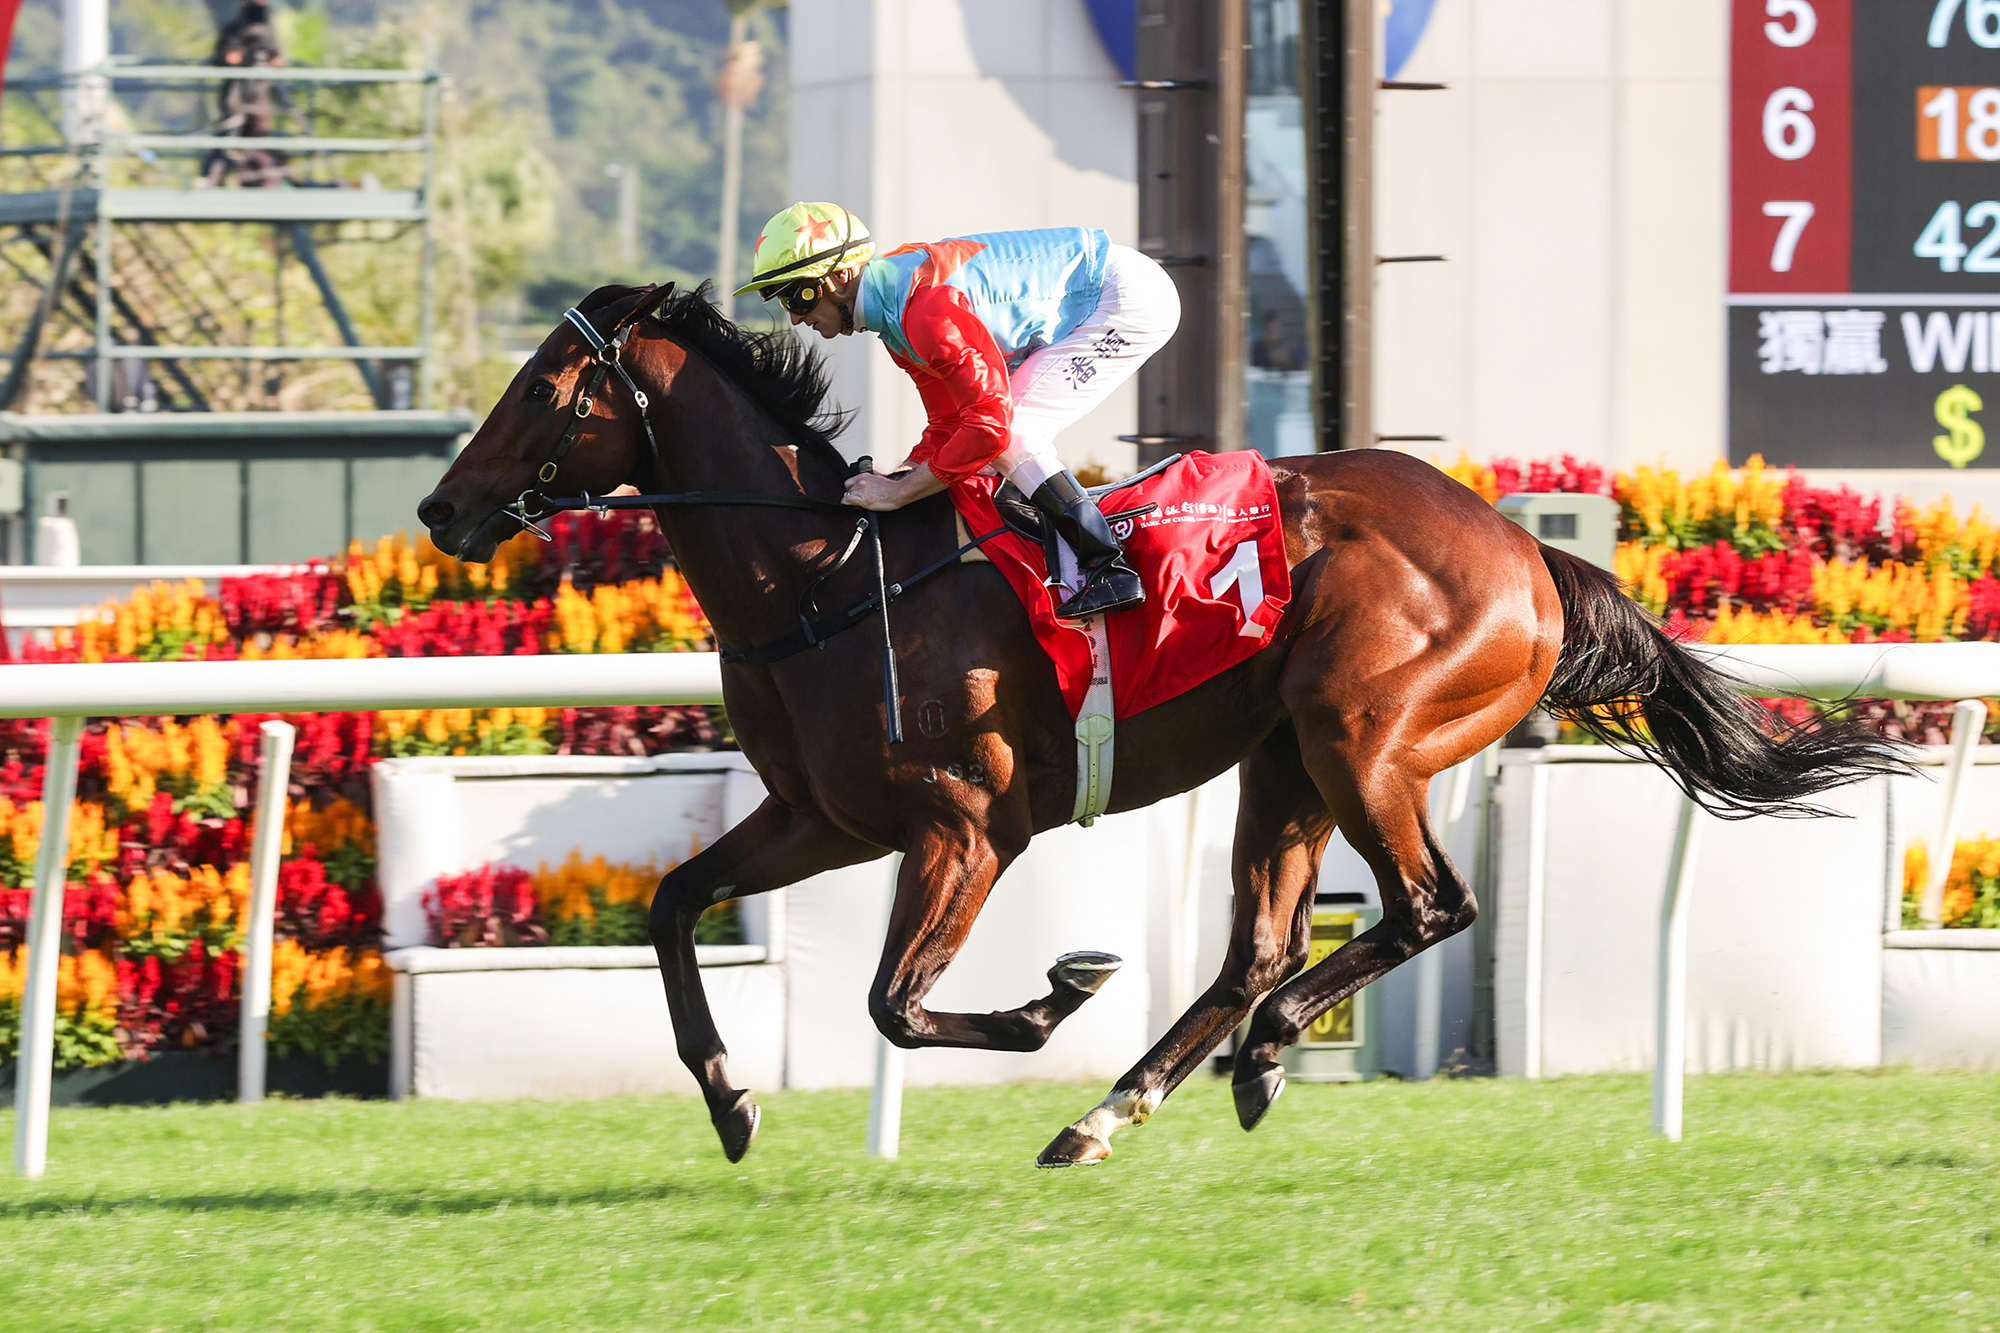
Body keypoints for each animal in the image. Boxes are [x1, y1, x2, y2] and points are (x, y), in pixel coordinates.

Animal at [417, 282, 1907, 1168]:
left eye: (543, 384)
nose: (439, 507)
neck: (822, 580)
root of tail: (1529, 552)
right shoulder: (820, 819)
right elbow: (676, 904)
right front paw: (729, 1099)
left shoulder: (967, 824)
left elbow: (895, 1002)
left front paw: (1054, 994)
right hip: (1284, 759)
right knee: (1256, 948)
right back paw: (1123, 1106)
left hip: (1364, 735)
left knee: (1428, 906)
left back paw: (1250, 1055)